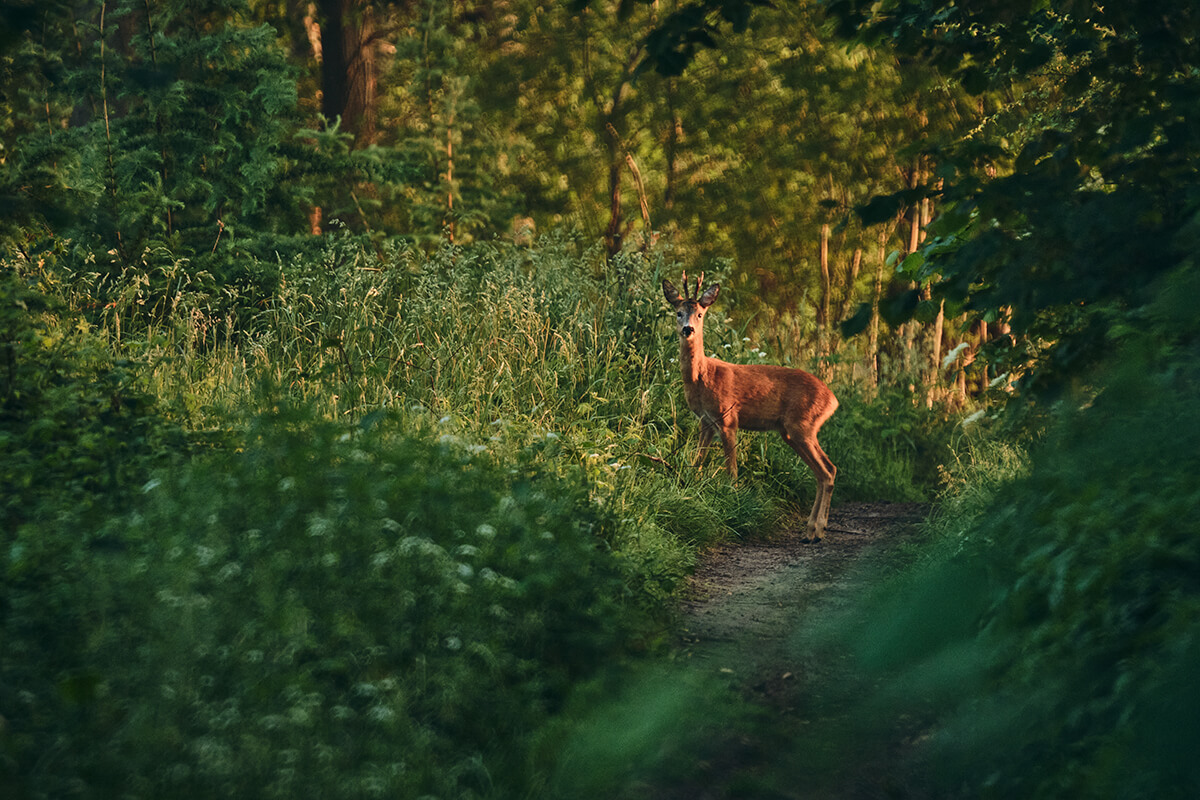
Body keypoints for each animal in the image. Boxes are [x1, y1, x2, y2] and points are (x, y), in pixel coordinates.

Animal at [662, 272, 840, 542]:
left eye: (700, 314)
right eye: (679, 312)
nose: (688, 329)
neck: (702, 376)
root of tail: (833, 399)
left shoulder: (728, 417)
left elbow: (732, 470)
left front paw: (733, 503)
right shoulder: (706, 421)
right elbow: (697, 462)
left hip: (802, 425)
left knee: (828, 470)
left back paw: (816, 532)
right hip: (793, 432)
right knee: (824, 471)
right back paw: (812, 530)